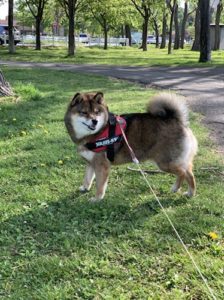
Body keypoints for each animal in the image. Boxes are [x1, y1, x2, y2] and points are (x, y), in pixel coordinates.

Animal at [65, 91, 198, 202]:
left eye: (97, 112)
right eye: (84, 113)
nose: (95, 121)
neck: (97, 132)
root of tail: (177, 120)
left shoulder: (102, 165)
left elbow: (100, 185)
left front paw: (97, 198)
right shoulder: (90, 163)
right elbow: (87, 178)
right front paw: (84, 188)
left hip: (165, 163)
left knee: (184, 173)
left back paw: (180, 189)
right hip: (176, 161)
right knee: (188, 172)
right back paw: (187, 192)